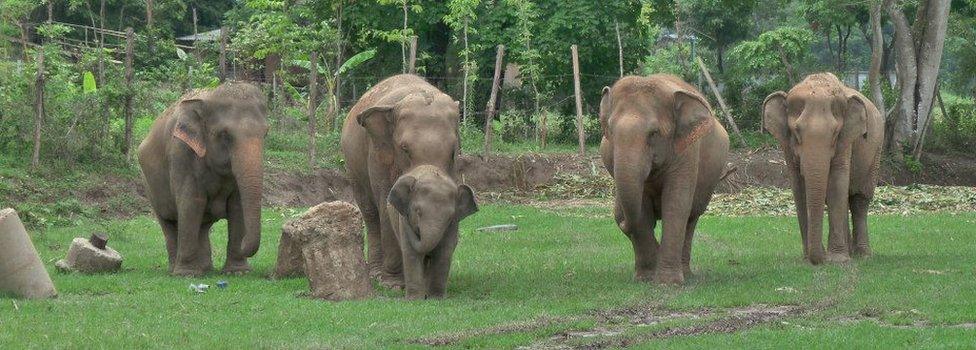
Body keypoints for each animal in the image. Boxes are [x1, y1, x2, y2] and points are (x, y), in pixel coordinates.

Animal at [136, 82, 266, 276]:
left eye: (266, 133)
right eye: (225, 135)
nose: (244, 244)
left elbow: (237, 205)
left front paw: (238, 272)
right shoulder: (181, 152)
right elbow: (191, 202)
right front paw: (187, 274)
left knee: (203, 226)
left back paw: (206, 269)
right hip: (148, 184)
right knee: (168, 222)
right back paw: (176, 269)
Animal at [340, 74, 476, 290]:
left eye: (453, 151)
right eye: (404, 149)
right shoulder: (378, 155)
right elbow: (387, 204)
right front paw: (393, 284)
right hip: (353, 166)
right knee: (371, 214)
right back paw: (375, 274)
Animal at [388, 165, 480, 300]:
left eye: (449, 217)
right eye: (418, 212)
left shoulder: (453, 226)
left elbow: (444, 253)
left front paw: (436, 299)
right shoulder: (402, 223)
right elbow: (411, 253)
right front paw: (414, 300)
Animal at [764, 74, 884, 266]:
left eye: (835, 133)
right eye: (796, 131)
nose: (819, 259)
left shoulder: (846, 140)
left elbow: (837, 182)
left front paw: (837, 260)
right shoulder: (787, 146)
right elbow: (799, 188)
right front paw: (811, 258)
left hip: (876, 151)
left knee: (859, 199)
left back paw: (862, 255)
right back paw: (849, 253)